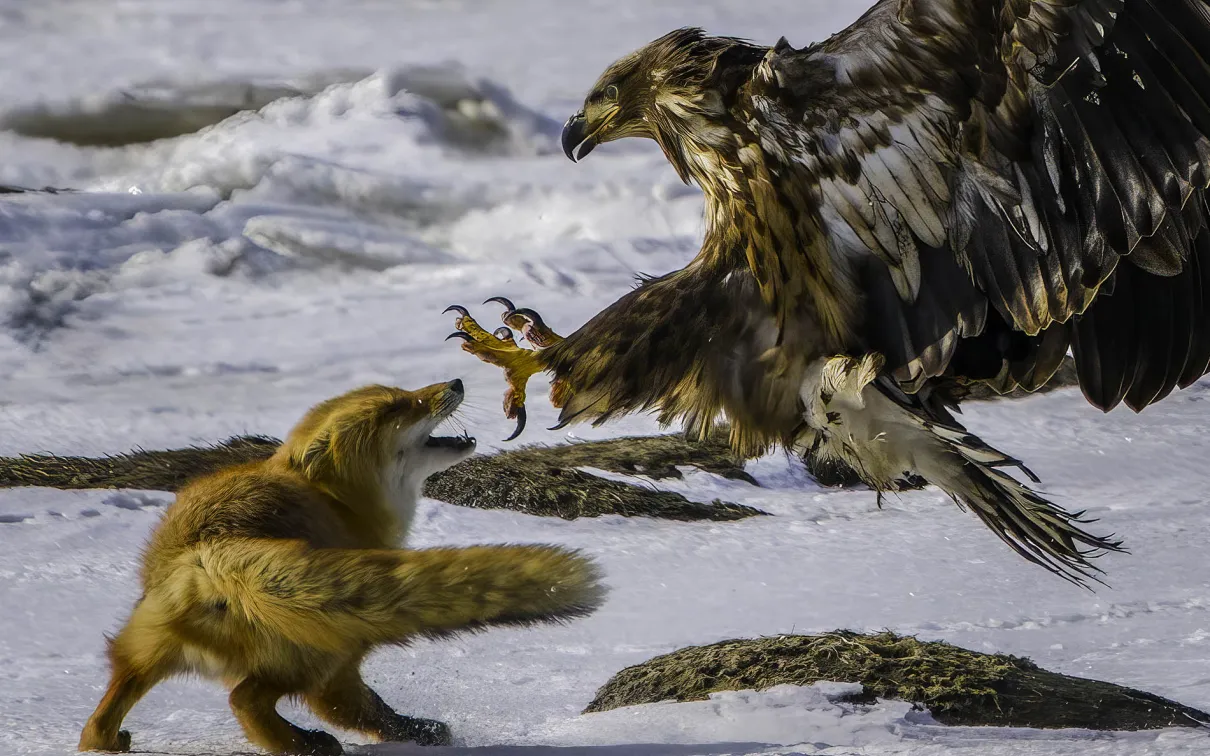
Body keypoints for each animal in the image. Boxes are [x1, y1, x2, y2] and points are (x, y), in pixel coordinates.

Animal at [78, 379, 605, 755]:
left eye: (403, 391)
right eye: (397, 408)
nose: (455, 381)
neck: (340, 504)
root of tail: (211, 550)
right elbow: (358, 707)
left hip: (146, 649)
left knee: (102, 716)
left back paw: (108, 743)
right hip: (328, 648)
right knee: (258, 700)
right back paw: (318, 744)